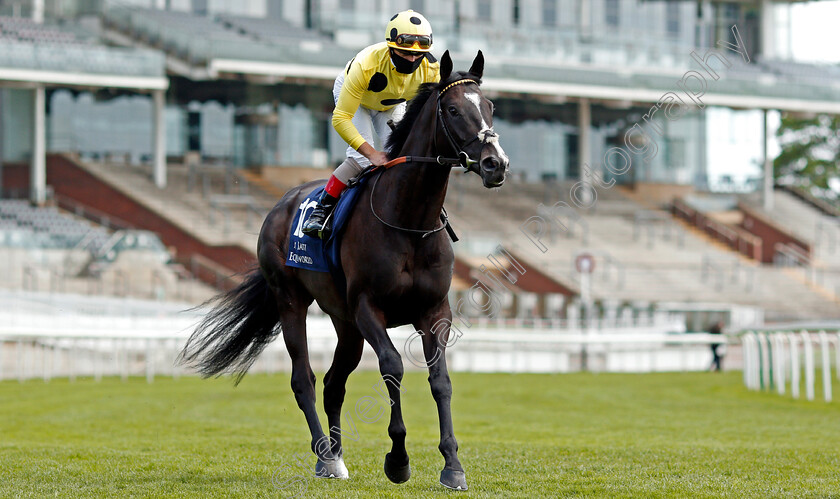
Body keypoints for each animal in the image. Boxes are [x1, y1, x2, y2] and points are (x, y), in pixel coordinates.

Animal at [180, 51, 508, 492]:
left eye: (489, 107)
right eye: (454, 110)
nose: (495, 163)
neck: (409, 219)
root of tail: (281, 204)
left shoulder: (435, 311)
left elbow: (441, 381)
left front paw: (452, 465)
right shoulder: (369, 307)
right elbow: (392, 367)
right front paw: (398, 459)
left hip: (345, 324)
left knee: (334, 383)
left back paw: (336, 454)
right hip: (292, 302)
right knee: (304, 379)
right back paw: (325, 457)